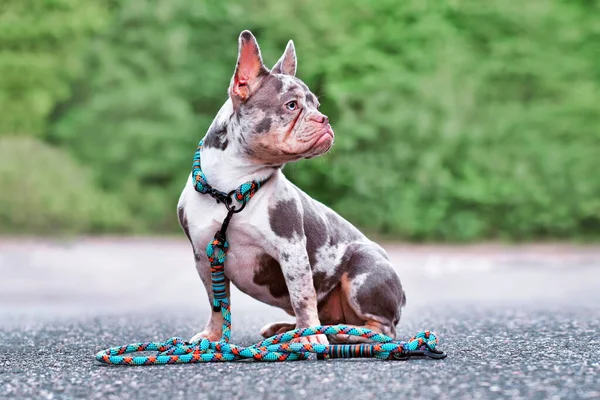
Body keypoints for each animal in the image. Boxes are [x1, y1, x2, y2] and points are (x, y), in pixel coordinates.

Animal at [176, 31, 406, 346]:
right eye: (292, 106)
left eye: (316, 107)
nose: (324, 119)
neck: (232, 188)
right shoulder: (205, 256)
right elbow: (217, 302)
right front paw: (213, 335)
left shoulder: (292, 251)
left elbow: (302, 295)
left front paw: (311, 336)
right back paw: (289, 329)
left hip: (363, 270)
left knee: (382, 328)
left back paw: (342, 333)